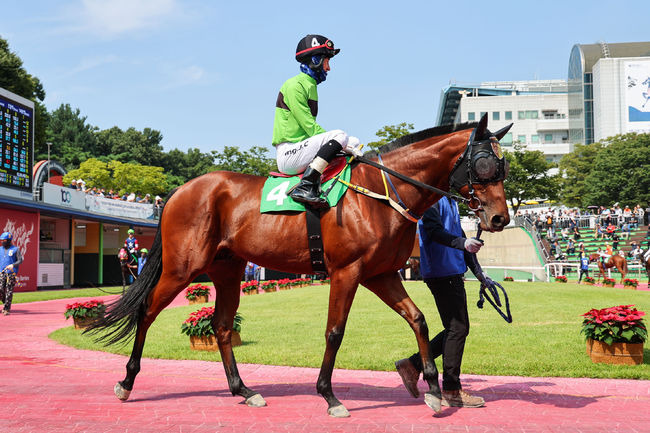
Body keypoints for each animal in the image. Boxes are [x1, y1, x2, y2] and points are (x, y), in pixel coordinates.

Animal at [87, 113, 512, 416]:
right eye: (485, 164)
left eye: (504, 166)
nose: (499, 218)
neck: (380, 192)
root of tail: (181, 189)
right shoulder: (348, 273)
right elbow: (335, 332)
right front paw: (329, 396)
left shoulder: (381, 274)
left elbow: (419, 319)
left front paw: (434, 389)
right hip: (182, 269)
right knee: (146, 311)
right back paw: (127, 383)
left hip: (227, 271)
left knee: (221, 327)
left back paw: (244, 390)